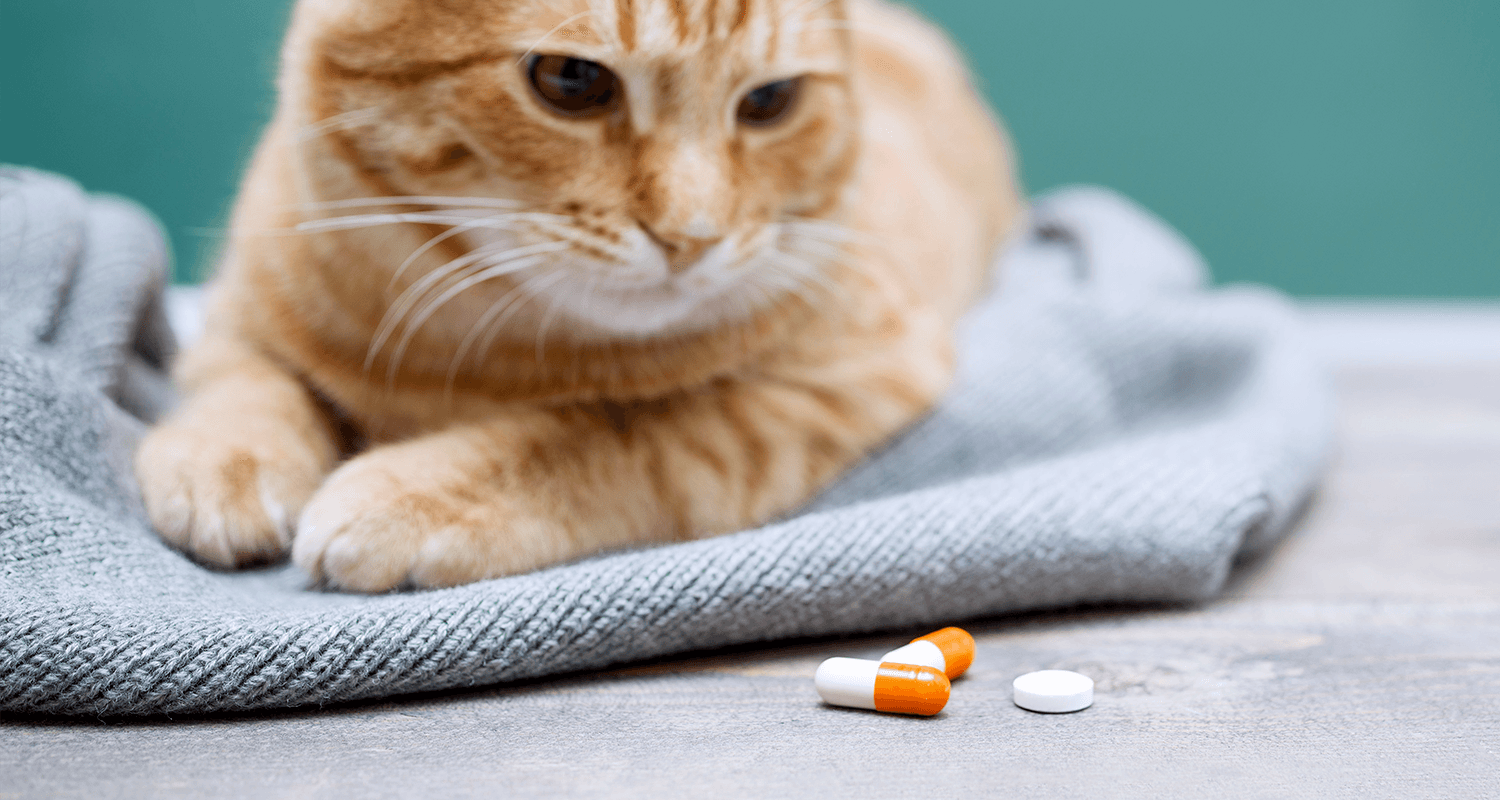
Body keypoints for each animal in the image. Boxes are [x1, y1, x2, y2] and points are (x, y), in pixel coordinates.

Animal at [135, 0, 1026, 585]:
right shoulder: (241, 299)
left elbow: (615, 430)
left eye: (771, 102)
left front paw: (415, 495)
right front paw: (223, 457)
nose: (693, 235)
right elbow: (241, 377)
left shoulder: (848, 372)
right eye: (570, 79)